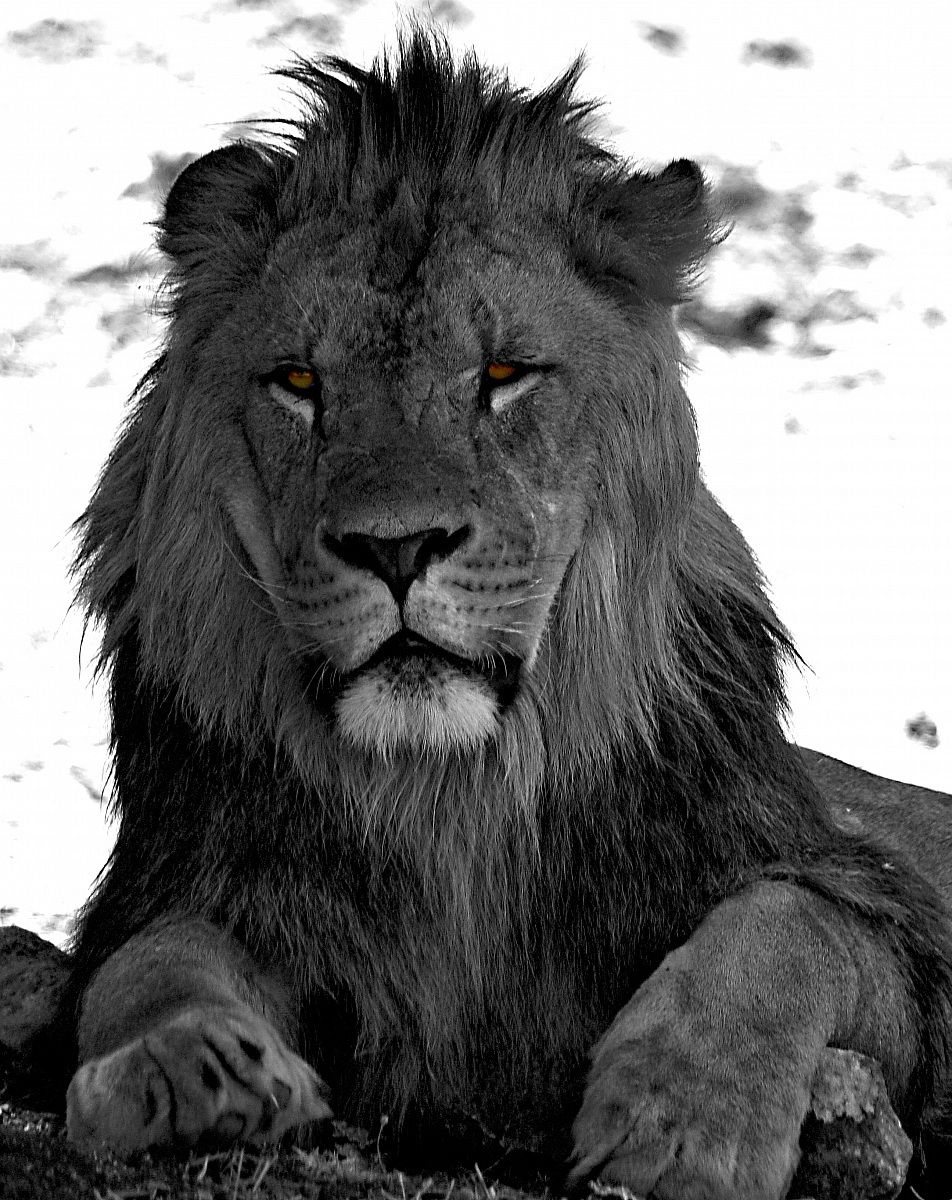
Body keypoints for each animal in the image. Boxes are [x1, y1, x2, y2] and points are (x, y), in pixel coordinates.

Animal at [62, 30, 952, 1199]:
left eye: (503, 374)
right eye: (298, 381)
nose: (396, 546)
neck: (454, 800)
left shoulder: (881, 928)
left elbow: (788, 926)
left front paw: (683, 1113)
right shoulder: (211, 887)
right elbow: (150, 960)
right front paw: (183, 1067)